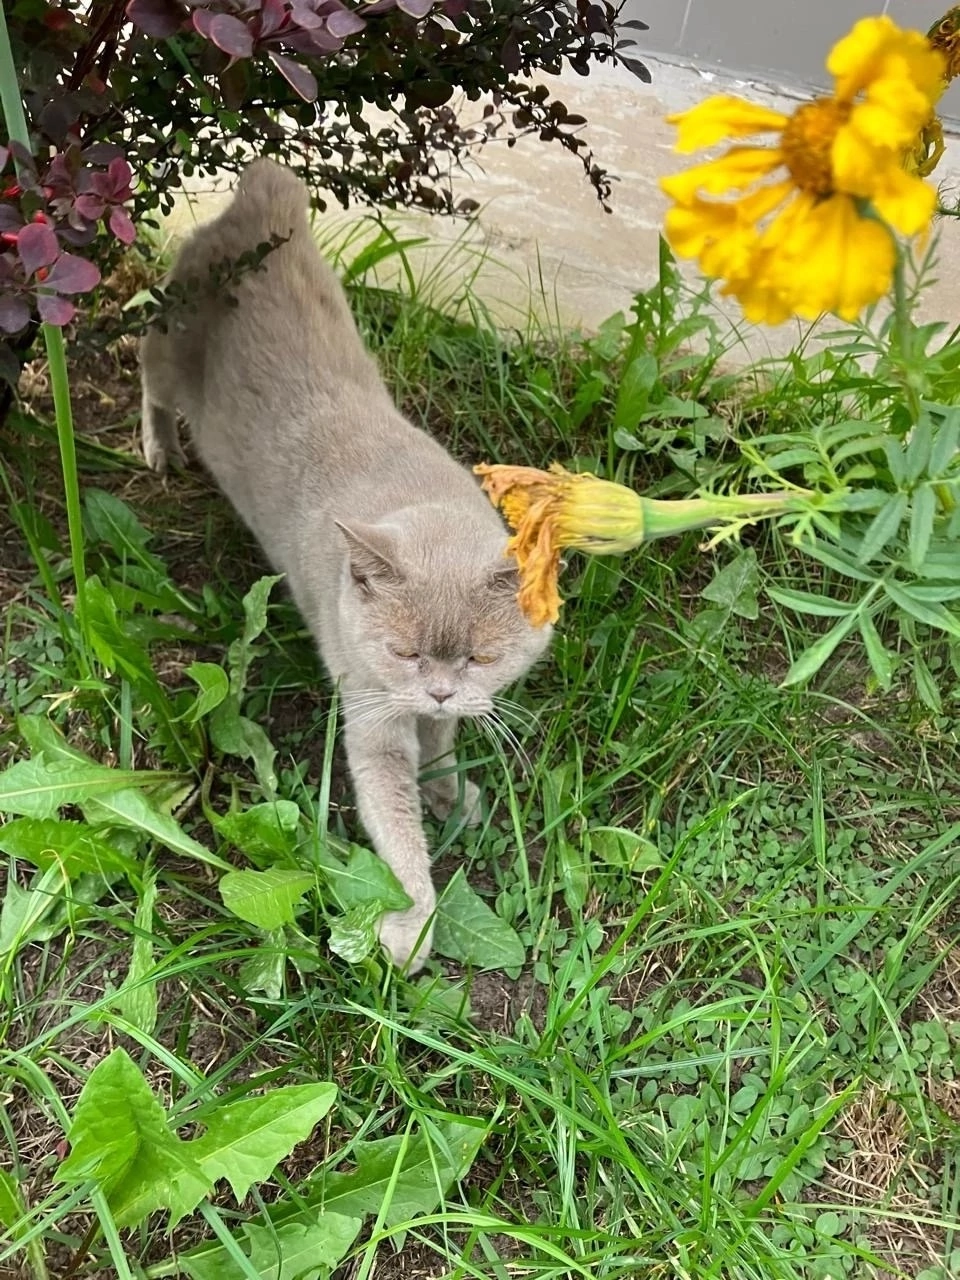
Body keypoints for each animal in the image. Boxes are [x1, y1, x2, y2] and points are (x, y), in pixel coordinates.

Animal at [138, 165, 552, 972]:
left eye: (483, 657)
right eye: (404, 651)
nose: (441, 689)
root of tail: (264, 199)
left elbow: (441, 746)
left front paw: (451, 792)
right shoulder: (371, 714)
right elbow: (394, 822)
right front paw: (412, 924)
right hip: (167, 350)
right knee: (146, 379)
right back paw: (159, 448)